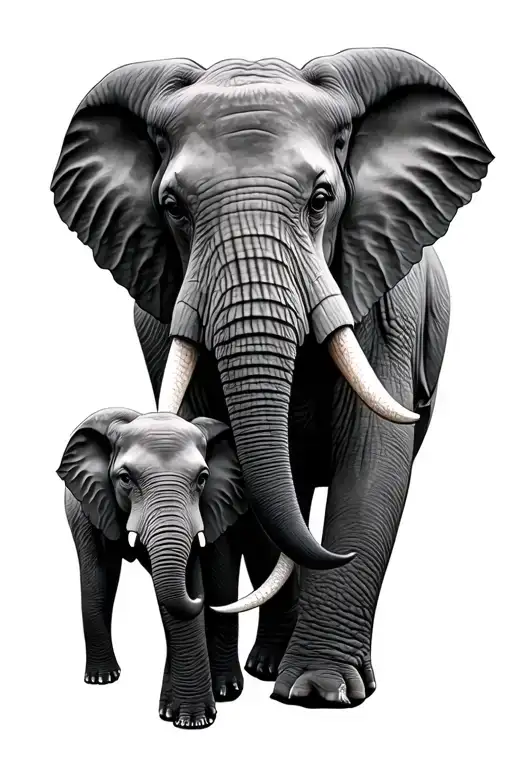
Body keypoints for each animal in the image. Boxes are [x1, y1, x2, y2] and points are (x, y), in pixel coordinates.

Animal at [57, 408, 297, 728]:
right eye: (125, 479)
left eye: (203, 478)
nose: (199, 597)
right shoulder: (89, 501)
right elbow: (100, 575)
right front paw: (185, 716)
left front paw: (191, 719)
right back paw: (103, 678)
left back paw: (241, 682)